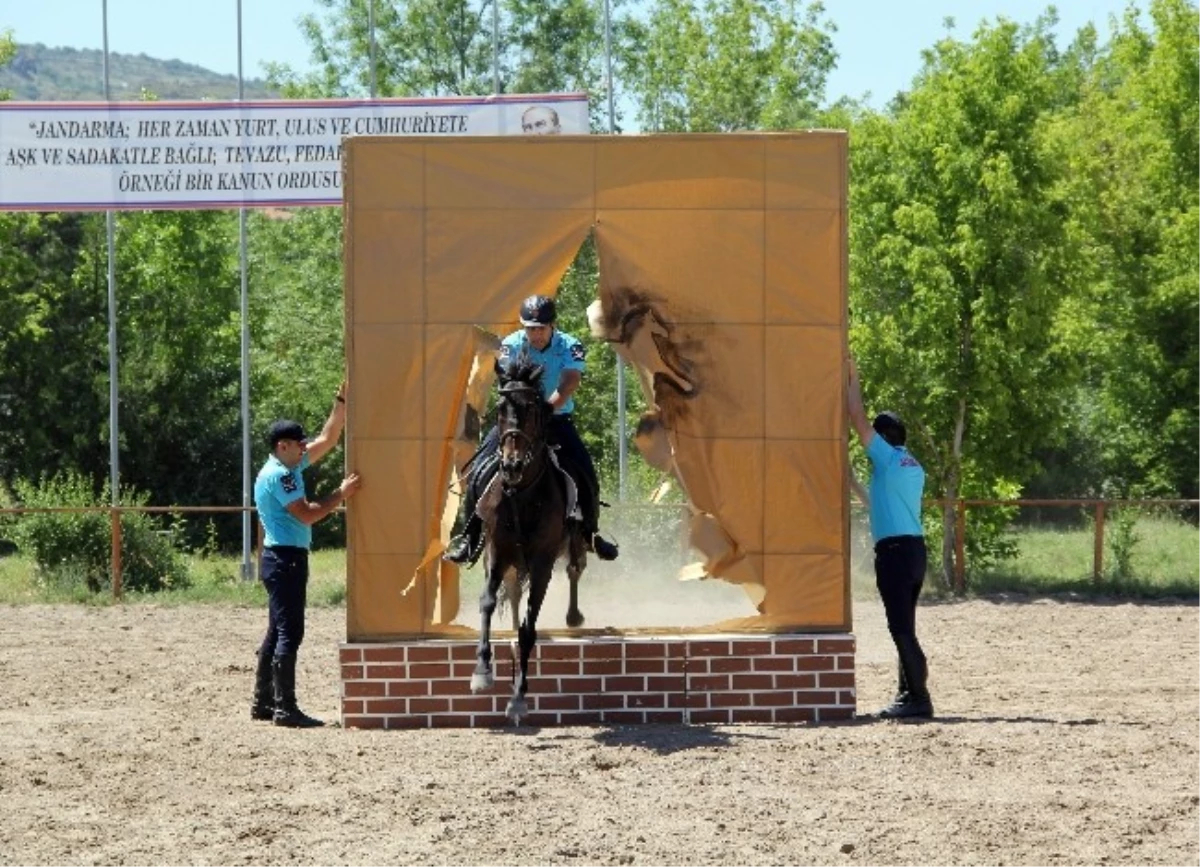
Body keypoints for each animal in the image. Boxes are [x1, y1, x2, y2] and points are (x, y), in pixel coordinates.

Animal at [472, 350, 595, 720]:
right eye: (501, 409)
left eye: (532, 409)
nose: (511, 465)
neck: (523, 493)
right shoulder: (496, 552)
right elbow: (487, 601)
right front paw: (482, 672)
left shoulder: (542, 562)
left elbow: (530, 627)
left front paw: (518, 697)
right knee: (513, 592)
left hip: (574, 546)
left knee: (574, 571)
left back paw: (573, 617)